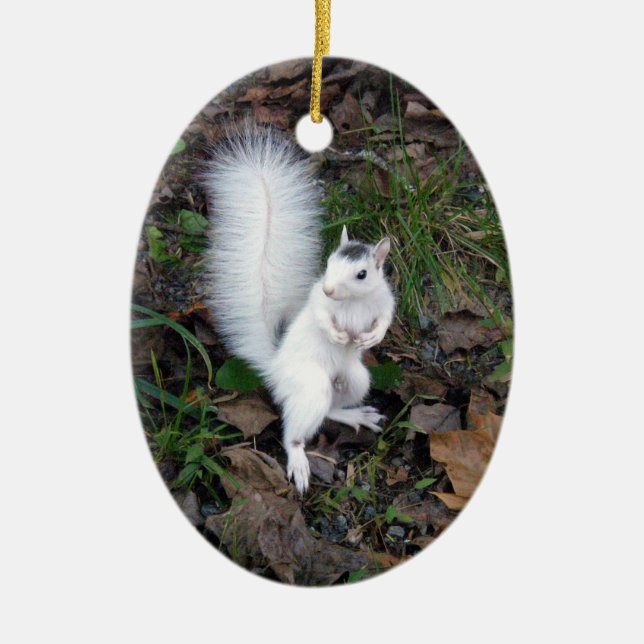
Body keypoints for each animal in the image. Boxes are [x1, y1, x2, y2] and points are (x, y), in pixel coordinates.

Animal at [203, 124, 395, 494]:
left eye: (362, 273)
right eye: (329, 264)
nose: (329, 288)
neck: (352, 302)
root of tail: (275, 369)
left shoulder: (385, 301)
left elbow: (384, 320)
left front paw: (371, 338)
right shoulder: (318, 303)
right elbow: (321, 318)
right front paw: (337, 335)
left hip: (355, 379)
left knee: (332, 409)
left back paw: (354, 415)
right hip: (311, 386)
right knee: (294, 433)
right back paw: (299, 460)